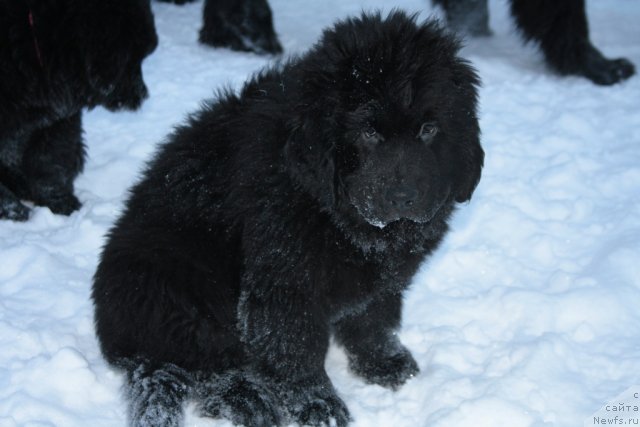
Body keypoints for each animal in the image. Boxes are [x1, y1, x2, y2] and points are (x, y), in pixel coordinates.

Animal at [0, 0, 159, 221]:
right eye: (130, 59)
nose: (142, 95)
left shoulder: (58, 120)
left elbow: (49, 162)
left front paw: (60, 203)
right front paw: (13, 210)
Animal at [92, 10, 482, 427]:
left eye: (429, 129)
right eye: (368, 132)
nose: (404, 198)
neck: (335, 213)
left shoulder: (380, 280)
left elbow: (373, 318)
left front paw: (385, 363)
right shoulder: (284, 280)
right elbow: (294, 348)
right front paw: (318, 406)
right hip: (182, 289)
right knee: (210, 369)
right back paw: (249, 400)